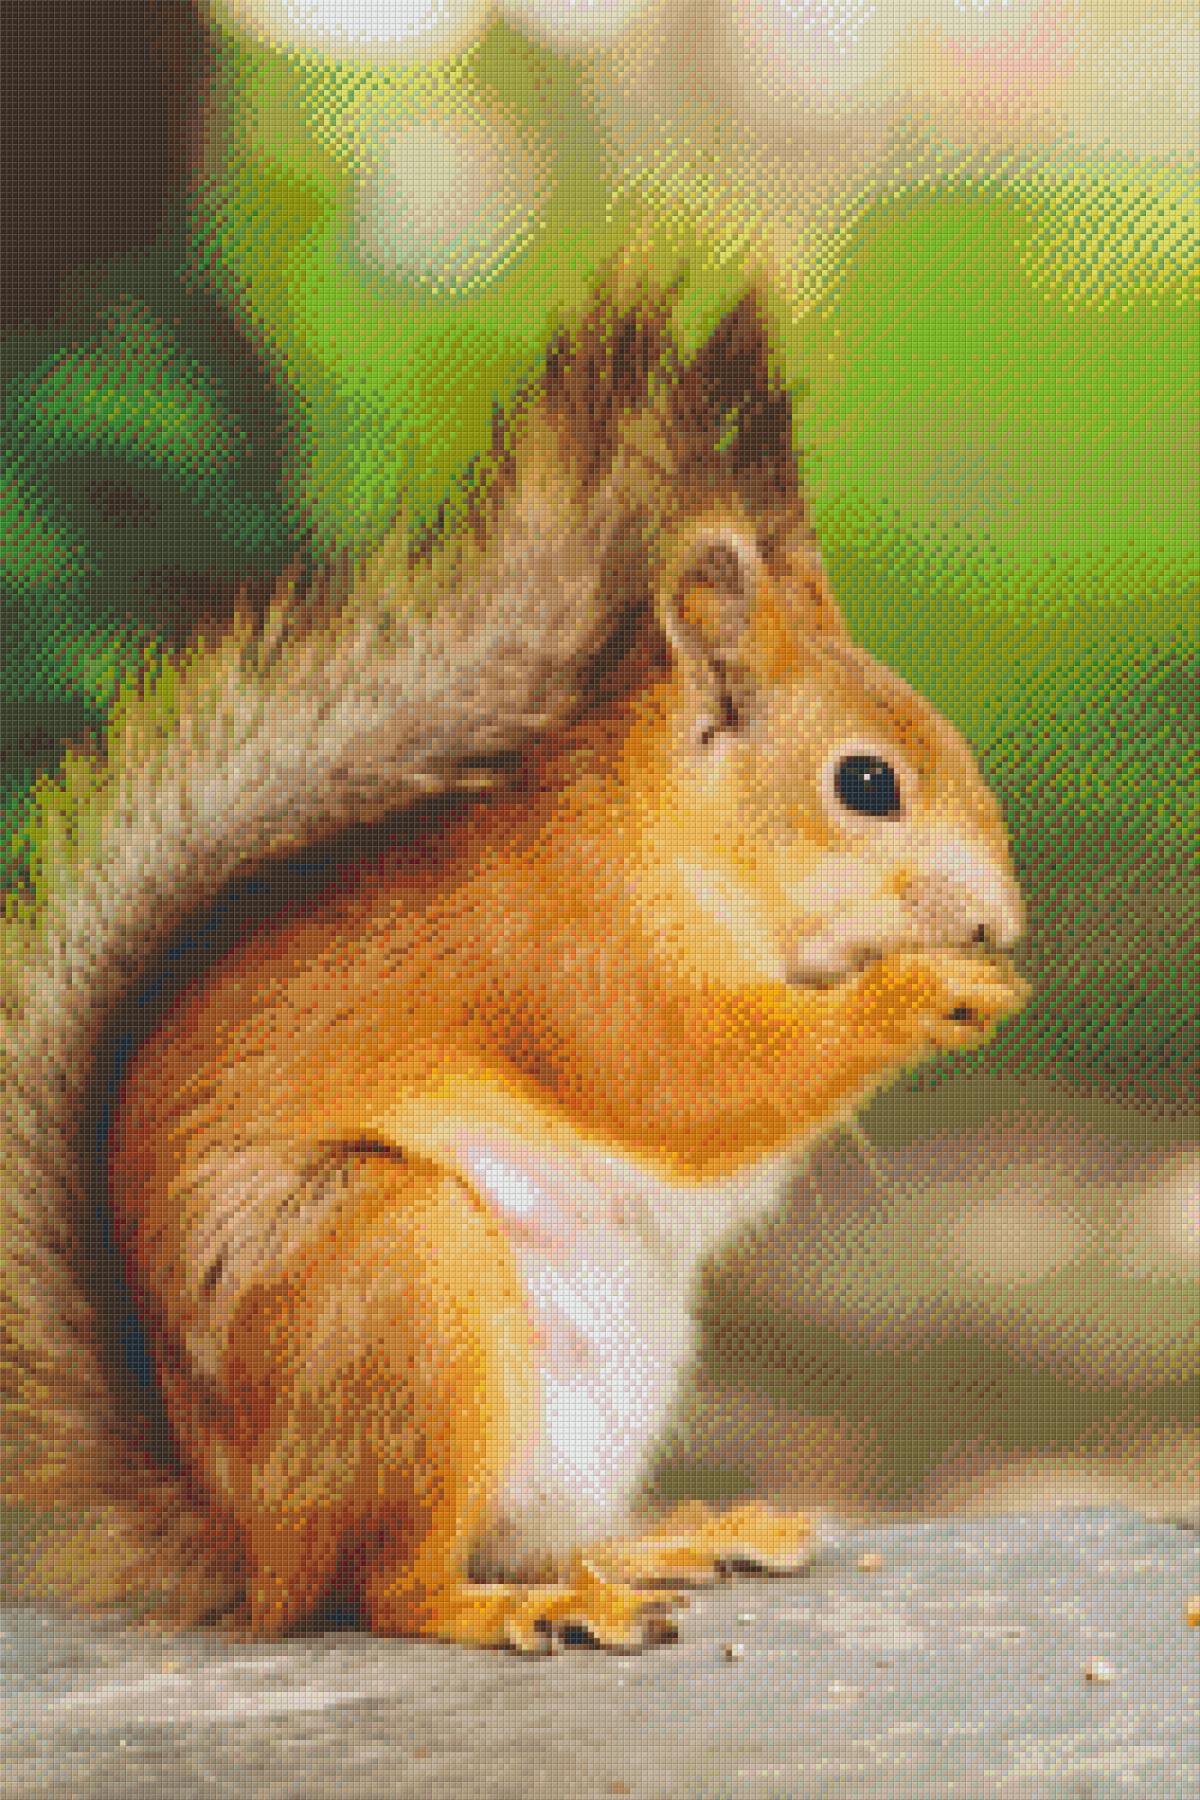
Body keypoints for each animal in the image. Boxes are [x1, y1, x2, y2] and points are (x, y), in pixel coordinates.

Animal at [0, 260, 1028, 1652]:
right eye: (865, 785)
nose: (1001, 921)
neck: (666, 838)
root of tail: (249, 1541)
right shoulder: (570, 954)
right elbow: (691, 1083)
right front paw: (927, 992)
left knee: (508, 1532)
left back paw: (659, 1544)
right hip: (394, 1275)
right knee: (389, 1586)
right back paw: (528, 1610)